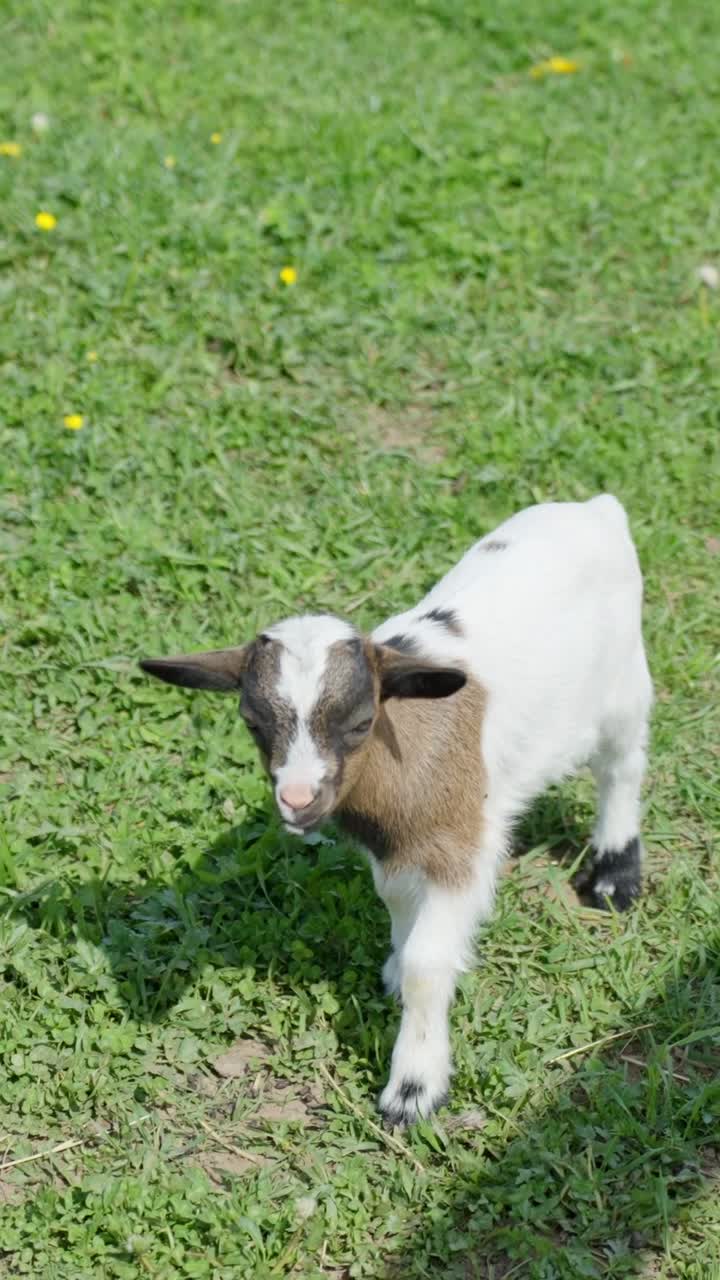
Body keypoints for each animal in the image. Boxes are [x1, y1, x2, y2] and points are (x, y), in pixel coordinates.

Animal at [140, 494, 652, 1126]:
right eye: (252, 722)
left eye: (362, 721)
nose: (298, 800)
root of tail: (596, 507)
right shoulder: (395, 852)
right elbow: (400, 912)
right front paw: (393, 971)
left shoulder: (459, 846)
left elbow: (427, 964)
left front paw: (413, 1088)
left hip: (625, 681)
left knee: (622, 766)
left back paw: (613, 876)